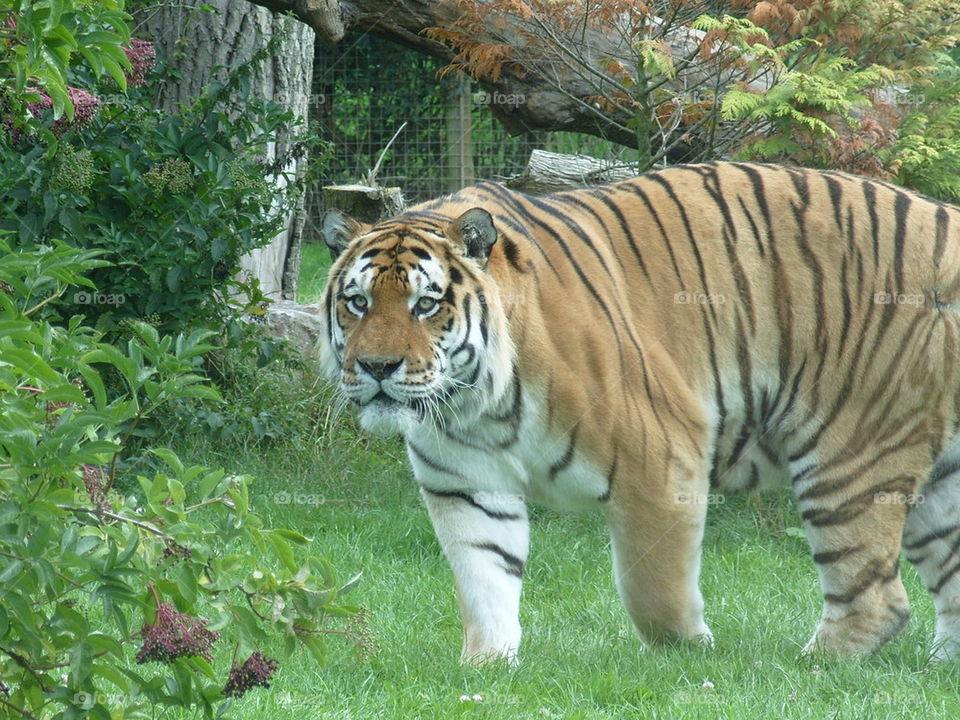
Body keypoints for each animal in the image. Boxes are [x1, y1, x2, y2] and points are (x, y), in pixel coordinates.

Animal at [317, 161, 960, 664]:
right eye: (358, 302)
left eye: (425, 305)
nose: (376, 367)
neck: (477, 403)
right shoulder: (464, 486)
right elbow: (483, 578)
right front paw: (487, 667)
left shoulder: (661, 458)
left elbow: (653, 589)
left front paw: (692, 653)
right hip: (937, 481)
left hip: (848, 452)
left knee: (878, 597)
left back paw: (809, 666)